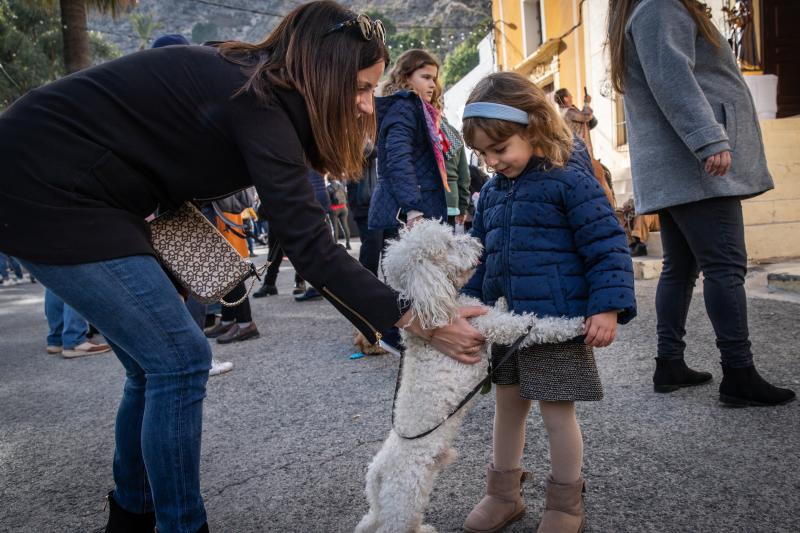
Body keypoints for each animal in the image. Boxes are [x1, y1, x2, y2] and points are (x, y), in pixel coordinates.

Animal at [354, 218, 584, 528]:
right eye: (448, 245)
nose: (477, 242)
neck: (438, 307)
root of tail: (376, 476)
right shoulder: (491, 326)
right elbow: (534, 326)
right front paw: (575, 324)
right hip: (405, 498)